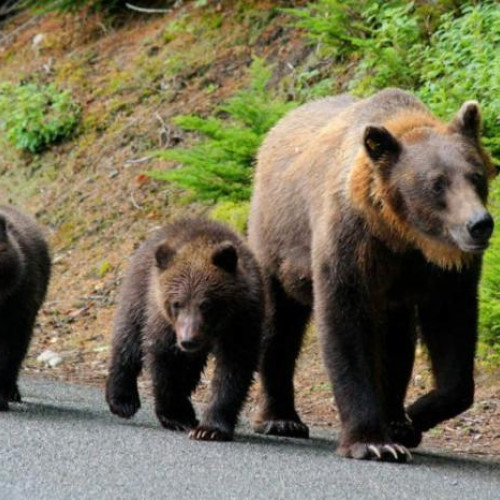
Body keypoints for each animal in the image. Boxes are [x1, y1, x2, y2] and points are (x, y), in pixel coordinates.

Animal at [250, 89, 496, 460]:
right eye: (437, 184)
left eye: (476, 175)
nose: (479, 224)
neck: (402, 234)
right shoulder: (353, 243)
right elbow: (346, 325)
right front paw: (373, 442)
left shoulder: (442, 272)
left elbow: (453, 337)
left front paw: (410, 419)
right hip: (277, 243)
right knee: (278, 323)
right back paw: (281, 419)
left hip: (393, 299)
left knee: (397, 341)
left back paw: (395, 416)